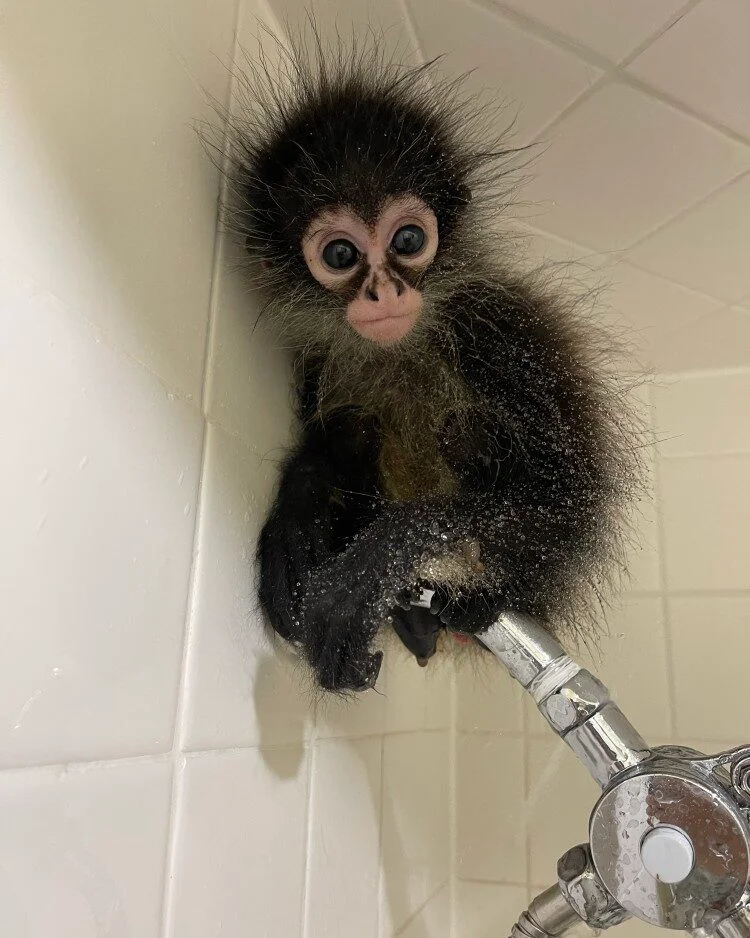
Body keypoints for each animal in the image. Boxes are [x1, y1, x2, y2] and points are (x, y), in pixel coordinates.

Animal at [220, 32, 643, 693]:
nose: (385, 293)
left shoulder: (500, 331)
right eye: (340, 254)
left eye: (409, 241)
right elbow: (322, 441)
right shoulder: (319, 354)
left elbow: (569, 496)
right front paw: (297, 515)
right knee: (357, 423)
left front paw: (383, 554)